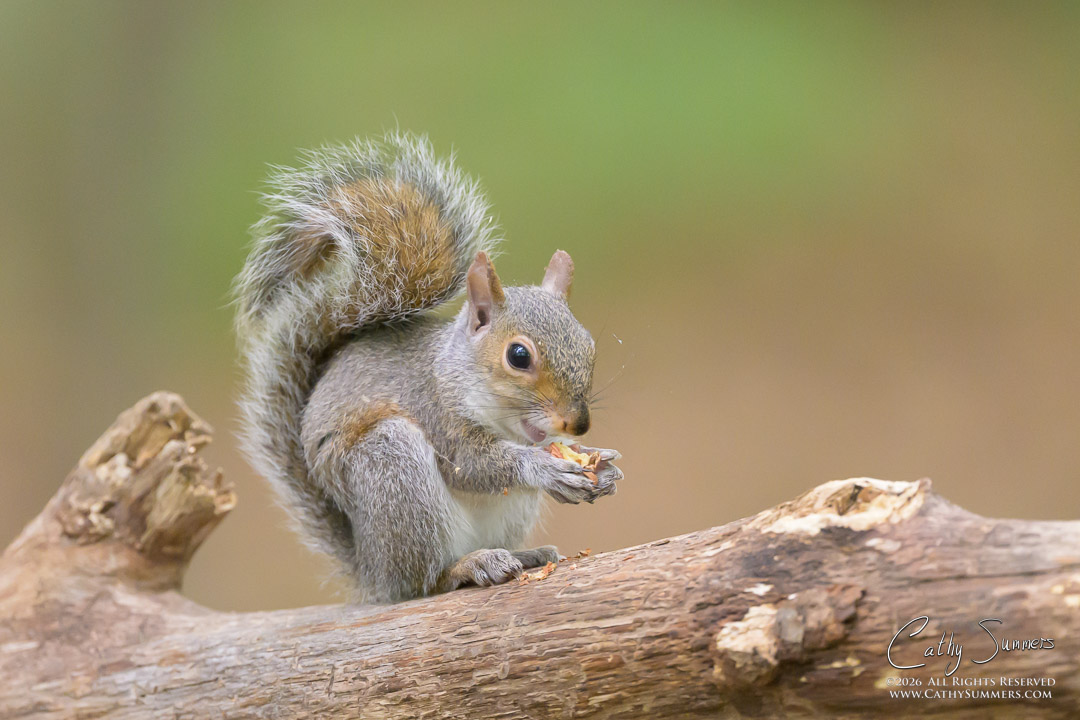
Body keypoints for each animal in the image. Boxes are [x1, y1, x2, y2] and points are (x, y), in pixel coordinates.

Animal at [234, 132, 622, 603]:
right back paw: (469, 565)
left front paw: (603, 464)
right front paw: (544, 467)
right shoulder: (436, 410)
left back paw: (524, 555)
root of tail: (371, 572)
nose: (578, 423)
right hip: (394, 470)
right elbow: (472, 466)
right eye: (518, 356)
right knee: (423, 581)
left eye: (589, 344)